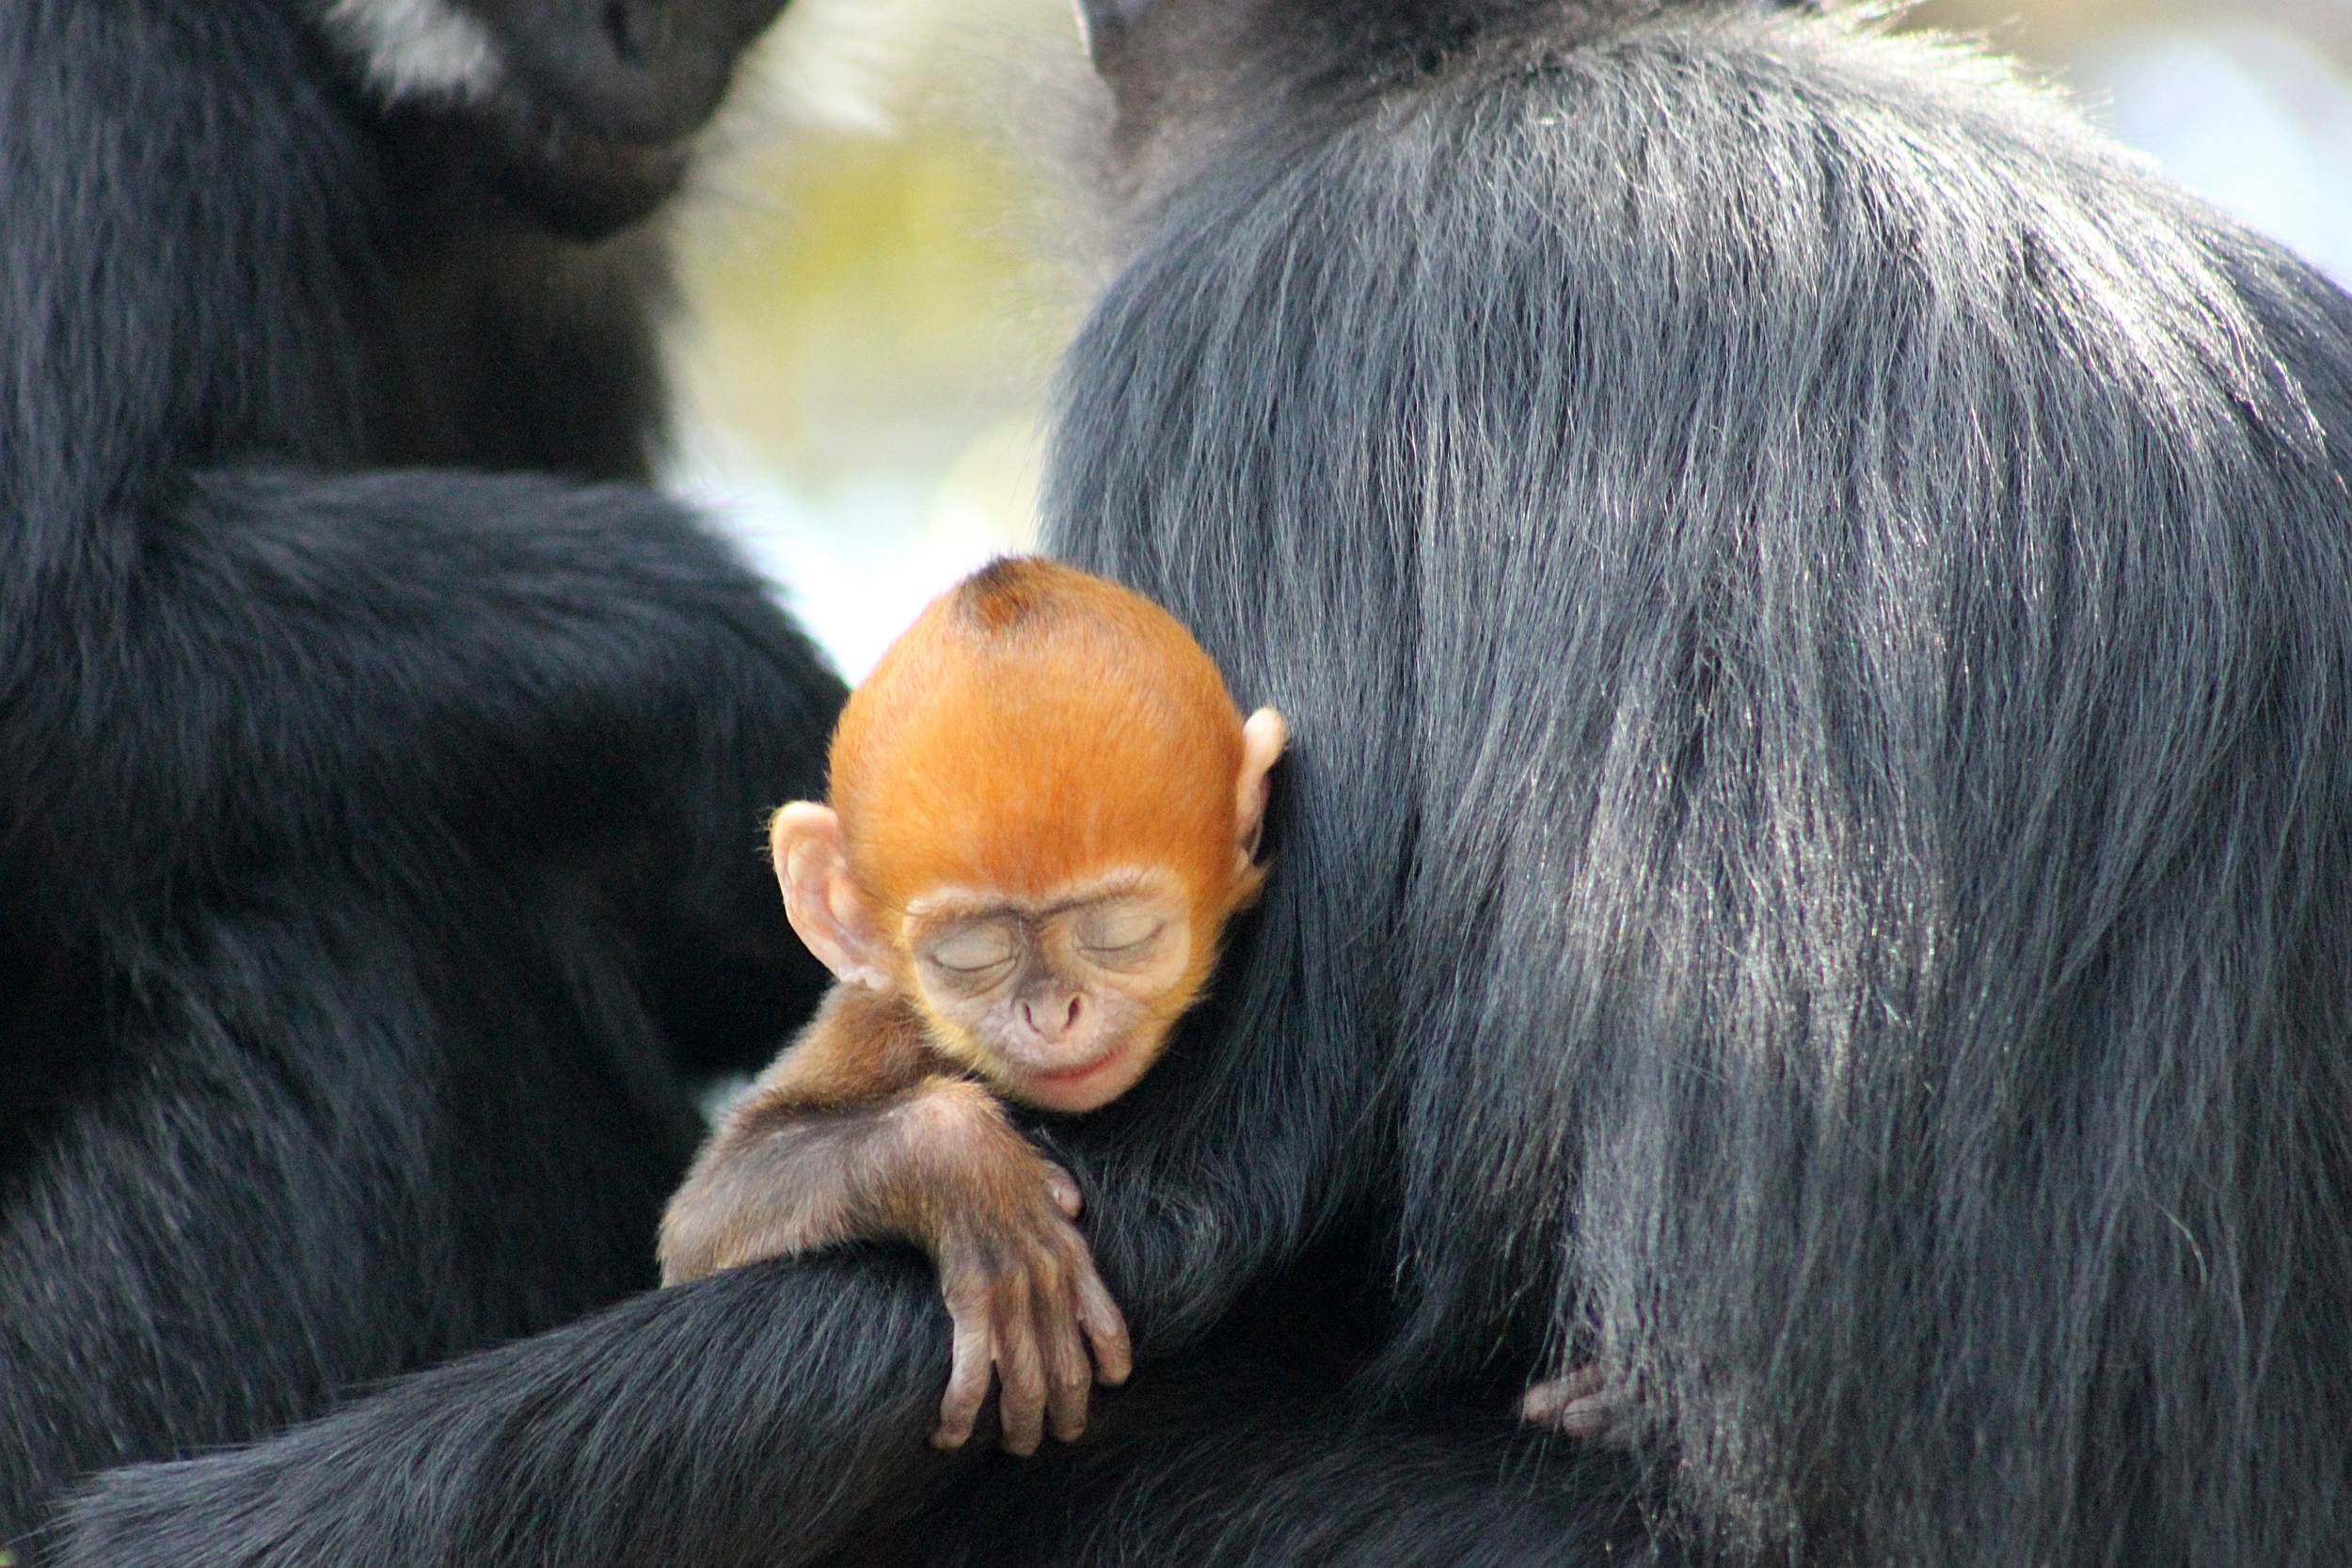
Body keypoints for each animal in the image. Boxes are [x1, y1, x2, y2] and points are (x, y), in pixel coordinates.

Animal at [659, 554, 1289, 1457]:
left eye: (1120, 933)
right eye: (973, 955)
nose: (1052, 1012)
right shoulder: (879, 1020)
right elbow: (700, 1224)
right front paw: (968, 1175)